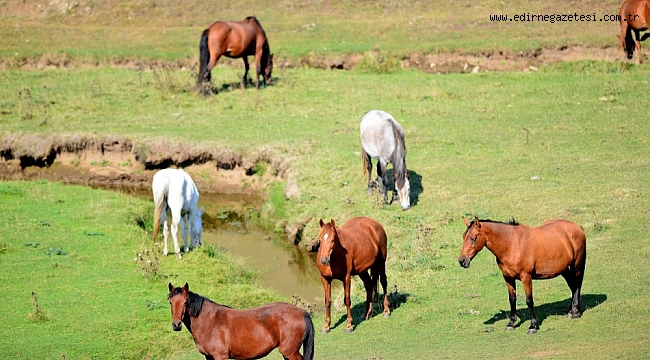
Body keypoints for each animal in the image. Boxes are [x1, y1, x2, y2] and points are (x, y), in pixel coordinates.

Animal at [168, 282, 312, 358]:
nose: (176, 325)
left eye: (185, 302)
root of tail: (302, 312)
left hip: (290, 352)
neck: (210, 322)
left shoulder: (221, 356)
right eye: (171, 302)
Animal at [456, 218, 588, 336]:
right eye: (463, 237)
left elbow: (529, 300)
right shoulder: (508, 278)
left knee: (577, 285)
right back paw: (570, 310)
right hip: (563, 269)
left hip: (577, 265)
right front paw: (511, 323)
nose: (462, 261)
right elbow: (512, 299)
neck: (512, 245)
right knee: (572, 285)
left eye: (473, 238)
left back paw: (575, 312)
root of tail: (577, 227)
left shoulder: (526, 277)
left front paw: (532, 326)